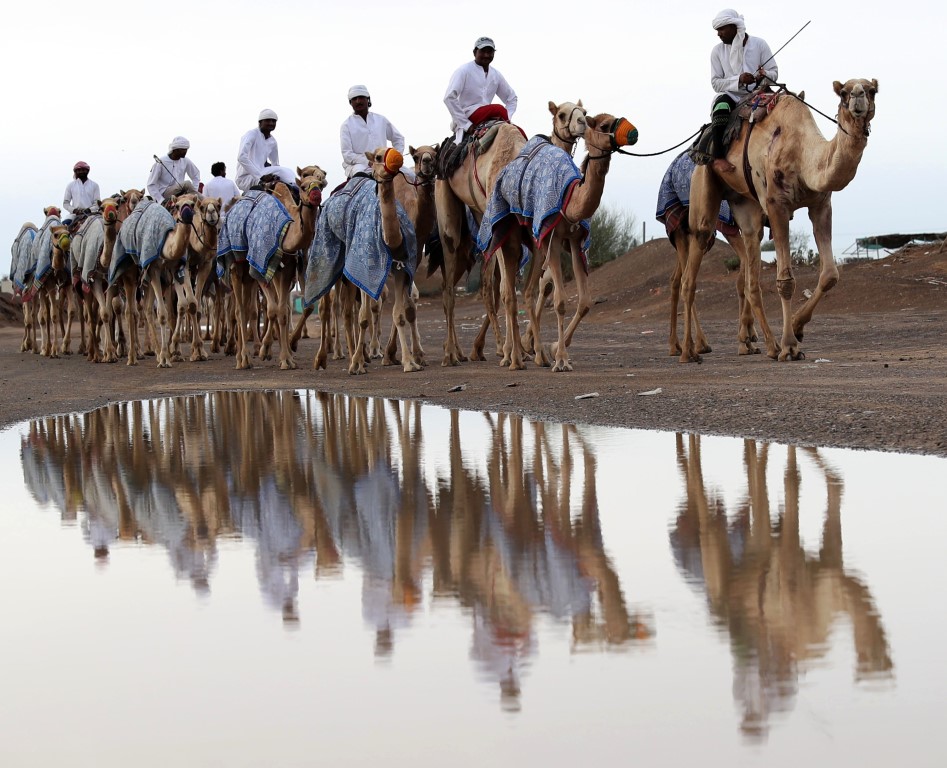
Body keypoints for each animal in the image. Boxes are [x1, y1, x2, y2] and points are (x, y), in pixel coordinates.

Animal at [676, 78, 876, 364]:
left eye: (872, 90)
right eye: (844, 93)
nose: (859, 97)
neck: (803, 153)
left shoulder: (820, 205)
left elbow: (830, 274)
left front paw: (797, 327)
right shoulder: (776, 205)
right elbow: (786, 281)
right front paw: (790, 347)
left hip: (745, 206)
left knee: (750, 274)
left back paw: (764, 345)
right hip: (704, 186)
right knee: (690, 274)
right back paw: (690, 351)